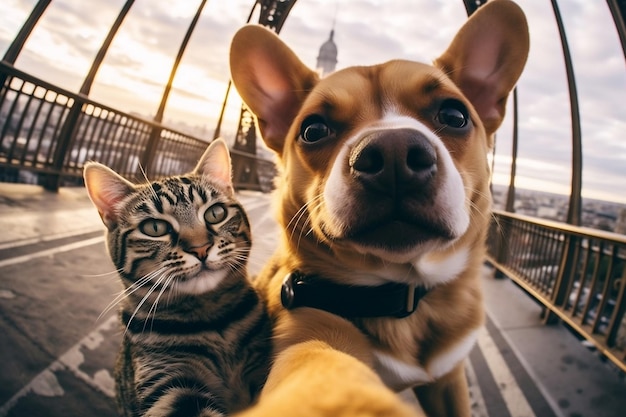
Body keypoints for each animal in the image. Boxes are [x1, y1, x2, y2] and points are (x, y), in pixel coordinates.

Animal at [229, 1, 528, 414]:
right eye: (313, 130)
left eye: (454, 116)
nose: (394, 153)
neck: (402, 292)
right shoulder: (309, 333)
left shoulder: (449, 380)